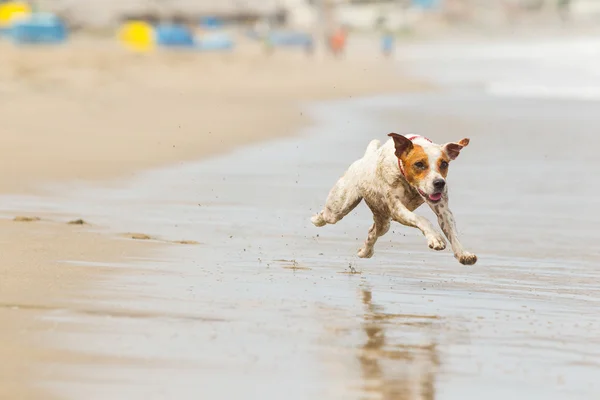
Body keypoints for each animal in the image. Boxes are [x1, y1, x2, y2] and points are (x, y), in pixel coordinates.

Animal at [312, 134, 476, 266]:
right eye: (419, 164)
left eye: (444, 164)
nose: (439, 183)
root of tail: (364, 159)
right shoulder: (397, 209)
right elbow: (422, 219)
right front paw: (435, 238)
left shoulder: (443, 210)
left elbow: (452, 231)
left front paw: (463, 254)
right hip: (339, 208)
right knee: (328, 215)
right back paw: (316, 219)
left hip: (384, 221)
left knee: (372, 232)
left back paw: (365, 252)